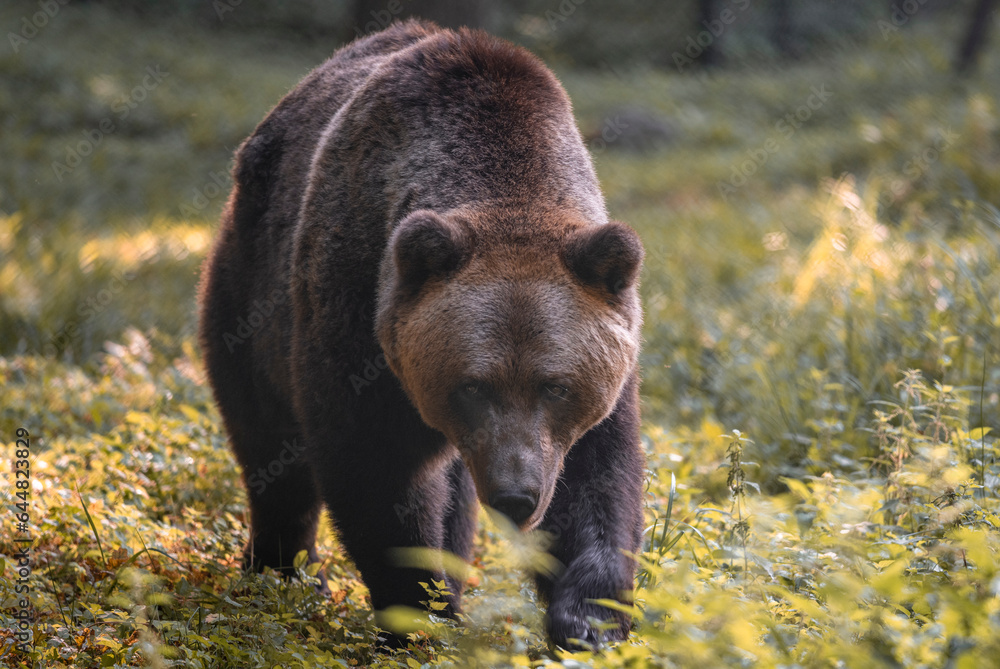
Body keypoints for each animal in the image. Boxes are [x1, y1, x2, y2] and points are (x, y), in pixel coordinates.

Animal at [198, 19, 646, 649]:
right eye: (473, 385)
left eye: (556, 386)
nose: (515, 495)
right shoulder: (358, 308)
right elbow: (376, 468)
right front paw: (419, 617)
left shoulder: (605, 363)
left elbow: (595, 478)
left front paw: (588, 620)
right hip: (250, 296)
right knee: (271, 451)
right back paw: (282, 574)